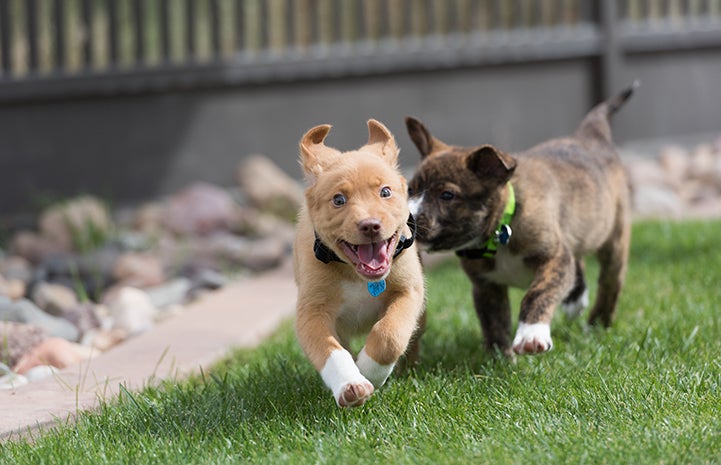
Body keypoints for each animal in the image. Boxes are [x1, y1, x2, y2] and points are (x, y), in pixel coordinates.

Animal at [294, 118, 424, 406]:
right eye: (338, 199)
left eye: (385, 192)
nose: (370, 225)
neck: (358, 276)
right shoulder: (311, 311)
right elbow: (330, 350)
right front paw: (351, 383)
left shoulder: (408, 291)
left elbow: (390, 335)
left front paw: (369, 370)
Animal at [404, 81, 636, 356]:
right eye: (410, 189)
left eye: (447, 195)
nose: (407, 220)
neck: (500, 232)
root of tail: (590, 136)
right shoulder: (486, 287)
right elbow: (494, 322)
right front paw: (499, 357)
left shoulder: (554, 259)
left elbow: (536, 294)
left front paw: (531, 334)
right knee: (578, 260)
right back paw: (575, 300)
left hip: (614, 240)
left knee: (610, 283)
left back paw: (598, 323)